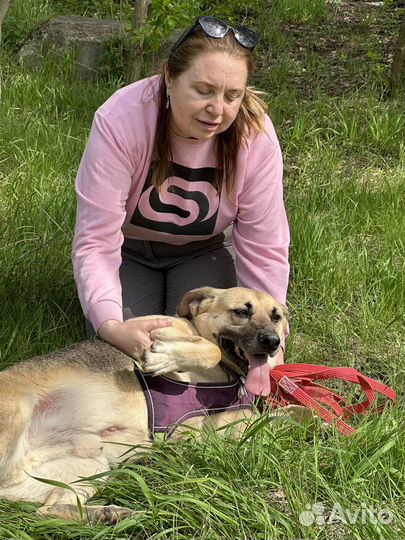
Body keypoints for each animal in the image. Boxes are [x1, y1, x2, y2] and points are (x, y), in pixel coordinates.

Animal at [0, 286, 288, 524]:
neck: (224, 376)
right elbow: (211, 350)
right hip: (21, 405)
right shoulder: (155, 330)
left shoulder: (221, 434)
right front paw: (165, 358)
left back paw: (107, 515)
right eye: (242, 312)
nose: (273, 342)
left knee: (46, 511)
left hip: (91, 466)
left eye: (276, 317)